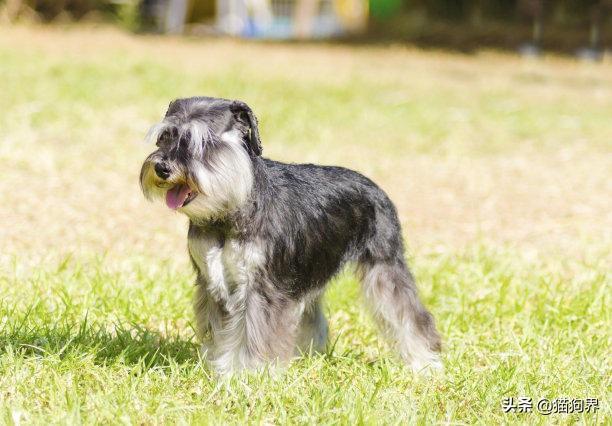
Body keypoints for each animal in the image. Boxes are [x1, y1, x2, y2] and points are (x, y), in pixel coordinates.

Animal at [141, 95, 442, 372]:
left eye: (202, 141)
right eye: (164, 136)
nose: (162, 168)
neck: (230, 208)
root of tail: (376, 188)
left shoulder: (260, 287)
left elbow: (250, 334)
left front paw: (243, 373)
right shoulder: (212, 283)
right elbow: (219, 331)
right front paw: (216, 365)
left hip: (384, 268)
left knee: (410, 316)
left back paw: (425, 362)